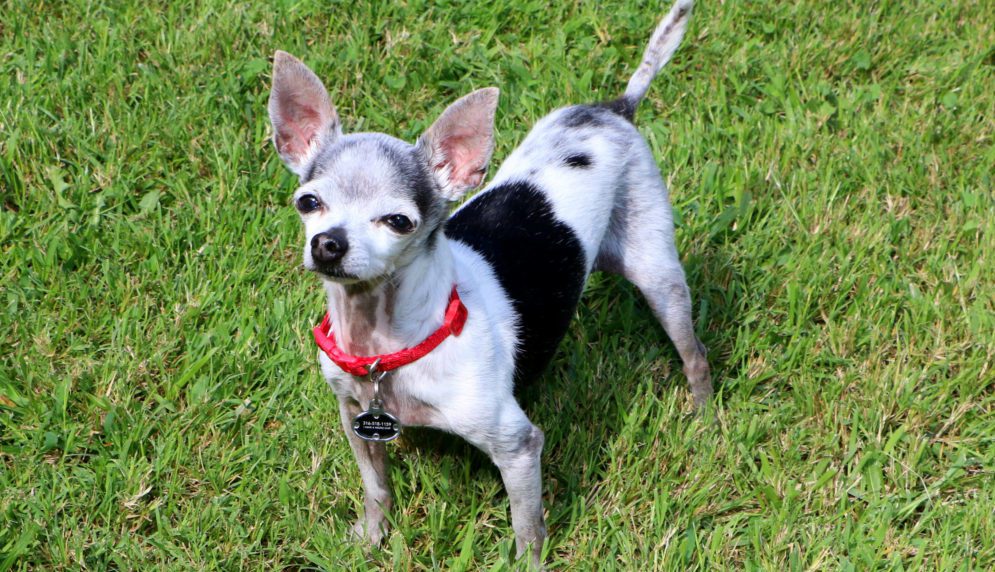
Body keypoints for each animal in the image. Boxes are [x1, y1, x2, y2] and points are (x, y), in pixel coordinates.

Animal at [268, 0, 712, 564]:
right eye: (309, 203)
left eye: (398, 221)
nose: (328, 243)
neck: (387, 344)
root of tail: (614, 108)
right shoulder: (355, 417)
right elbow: (376, 488)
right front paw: (372, 538)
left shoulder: (517, 446)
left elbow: (528, 528)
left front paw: (529, 565)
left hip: (657, 272)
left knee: (693, 350)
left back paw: (704, 417)